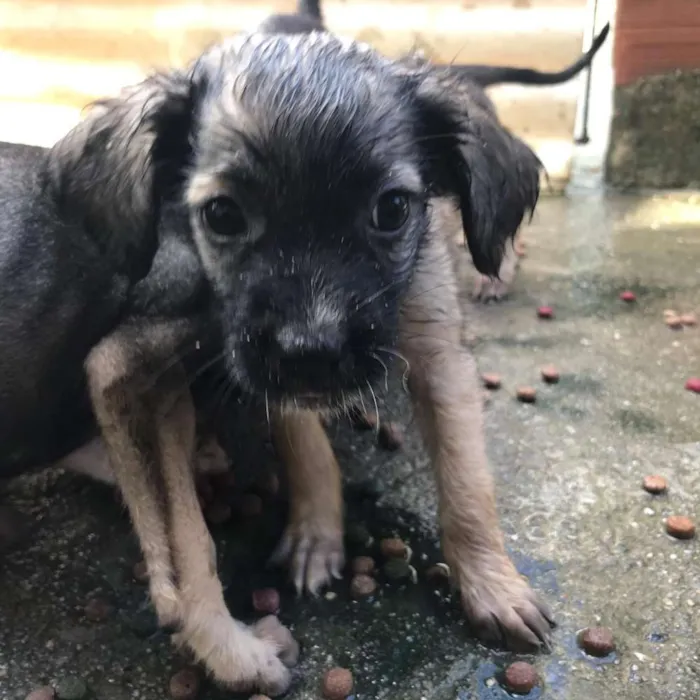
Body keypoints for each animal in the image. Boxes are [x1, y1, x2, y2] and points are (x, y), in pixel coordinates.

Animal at [2, 21, 556, 700]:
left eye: (392, 210)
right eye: (222, 214)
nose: (311, 355)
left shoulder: (437, 350)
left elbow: (465, 479)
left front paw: (493, 584)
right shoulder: (249, 373)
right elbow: (290, 459)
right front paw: (312, 538)